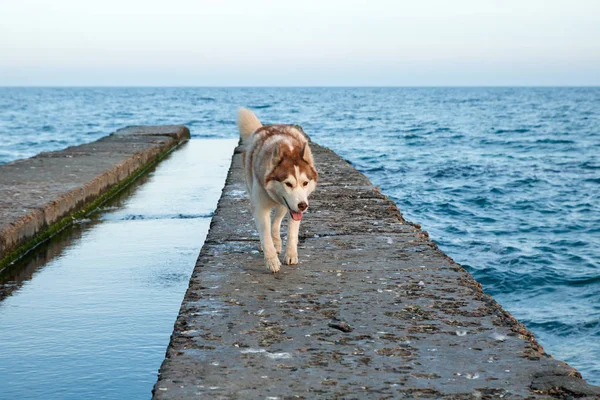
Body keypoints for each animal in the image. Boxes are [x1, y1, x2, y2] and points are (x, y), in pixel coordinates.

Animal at [237, 108, 318, 274]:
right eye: (288, 183)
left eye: (305, 183)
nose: (303, 206)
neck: (288, 148)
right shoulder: (260, 207)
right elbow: (265, 234)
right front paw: (271, 260)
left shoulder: (294, 207)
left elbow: (291, 232)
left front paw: (291, 254)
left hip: (284, 205)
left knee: (276, 222)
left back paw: (277, 241)